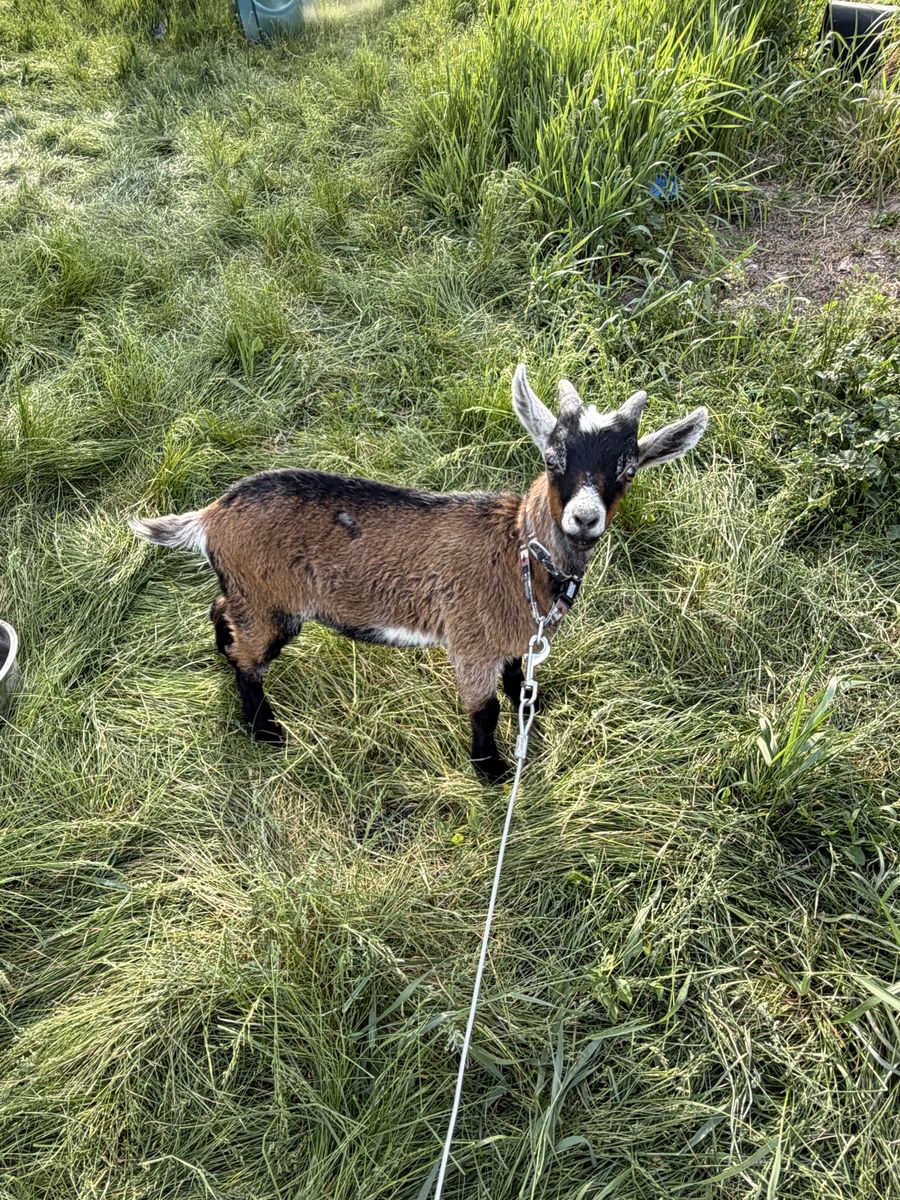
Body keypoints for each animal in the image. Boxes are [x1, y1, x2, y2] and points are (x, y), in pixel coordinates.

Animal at [131, 366, 707, 780]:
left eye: (627, 471)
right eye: (552, 460)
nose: (584, 518)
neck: (518, 553)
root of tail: (211, 516)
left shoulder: (514, 636)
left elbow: (517, 676)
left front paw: (531, 709)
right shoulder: (470, 638)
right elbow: (484, 709)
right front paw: (493, 770)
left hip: (247, 593)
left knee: (220, 612)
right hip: (270, 601)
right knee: (247, 659)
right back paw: (266, 731)